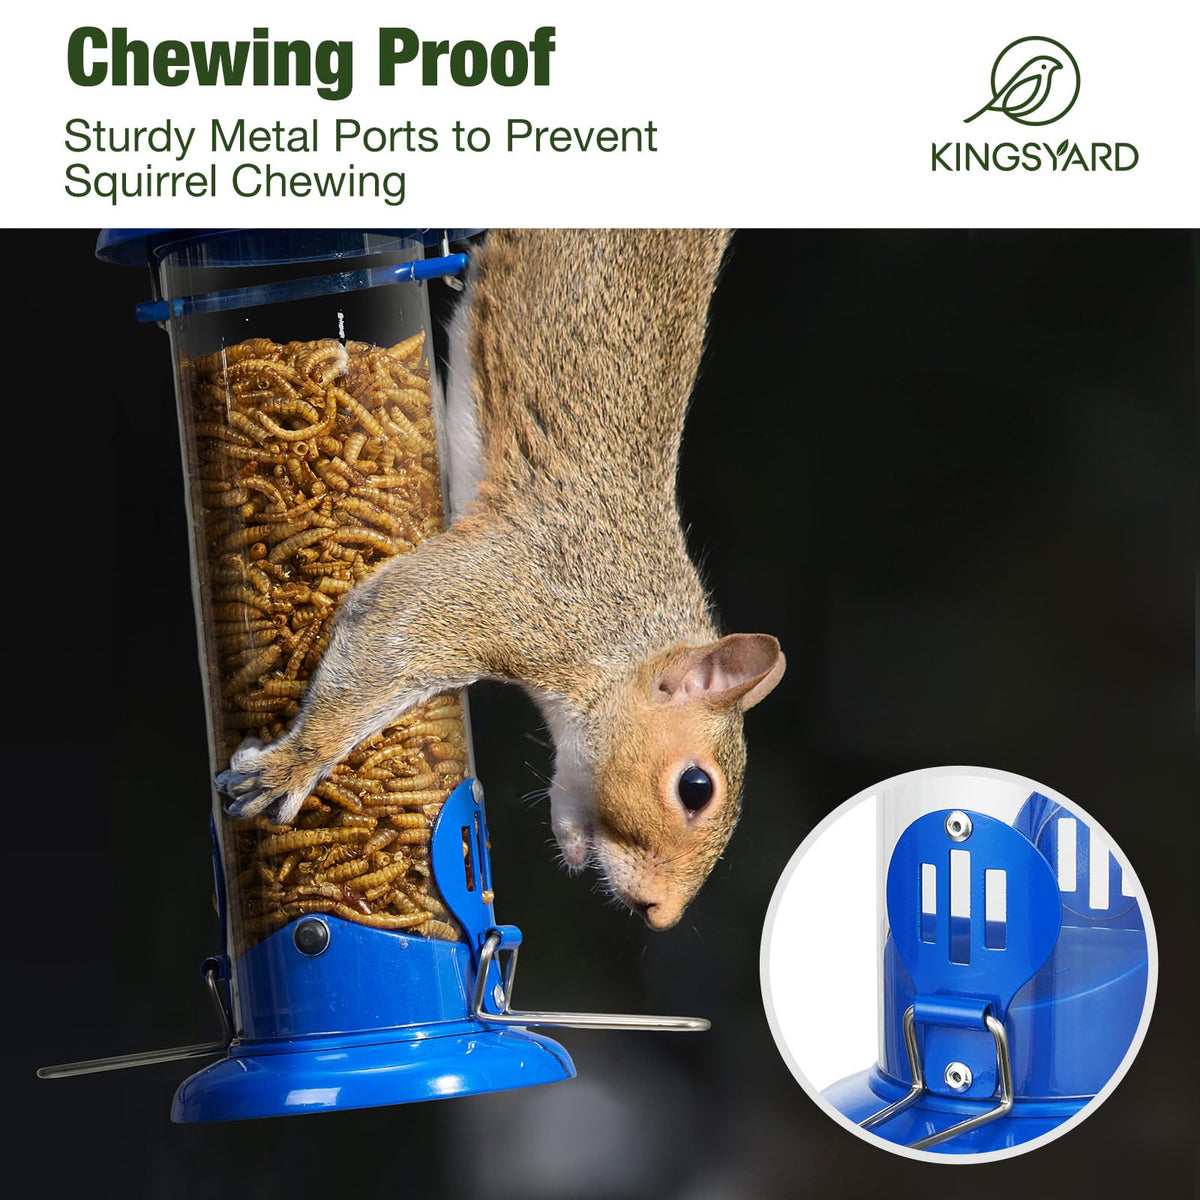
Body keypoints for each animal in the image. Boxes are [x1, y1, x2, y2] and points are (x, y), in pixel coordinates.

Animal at [218, 229, 785, 930]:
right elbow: (391, 632)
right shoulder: (514, 591)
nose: (661, 915)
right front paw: (289, 767)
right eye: (696, 787)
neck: (616, 630)